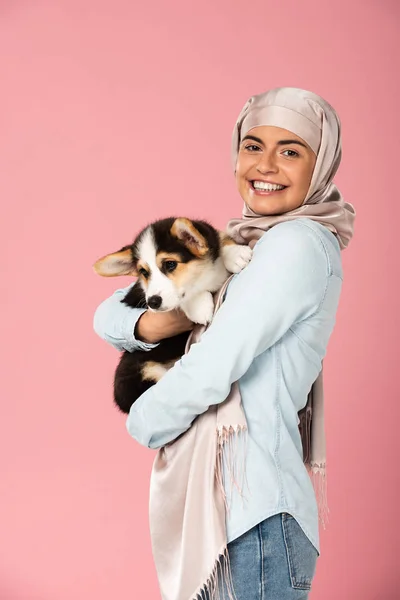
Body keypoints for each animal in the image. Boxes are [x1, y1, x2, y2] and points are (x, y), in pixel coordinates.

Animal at [94, 218, 252, 414]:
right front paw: (200, 306)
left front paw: (236, 254)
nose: (153, 302)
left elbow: (220, 239)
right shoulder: (139, 294)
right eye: (144, 272)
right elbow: (183, 299)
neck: (203, 277)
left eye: (170, 264)